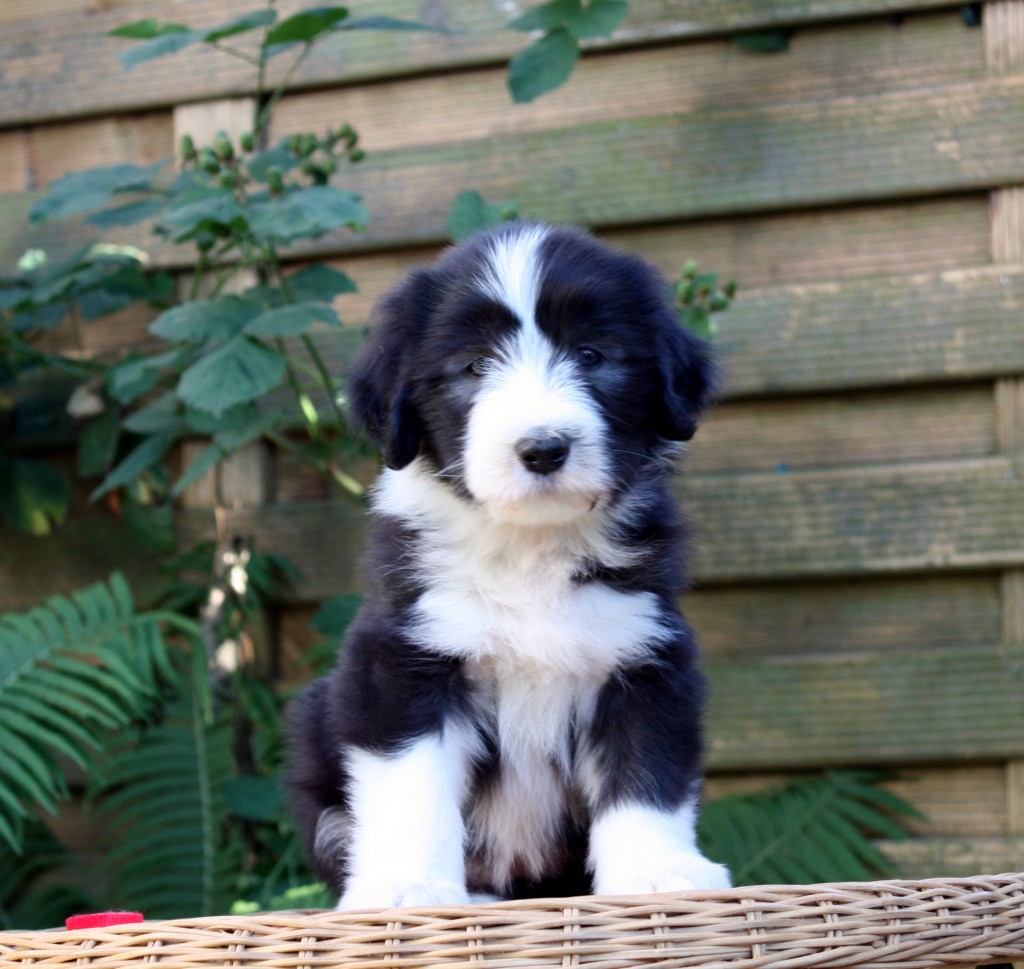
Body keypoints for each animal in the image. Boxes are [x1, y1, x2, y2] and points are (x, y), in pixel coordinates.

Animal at [286, 221, 729, 905]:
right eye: (474, 366)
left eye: (592, 355)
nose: (543, 448)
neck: (528, 548)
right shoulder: (402, 660)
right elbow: (411, 781)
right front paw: (410, 886)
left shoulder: (644, 656)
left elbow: (645, 773)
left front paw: (658, 873)